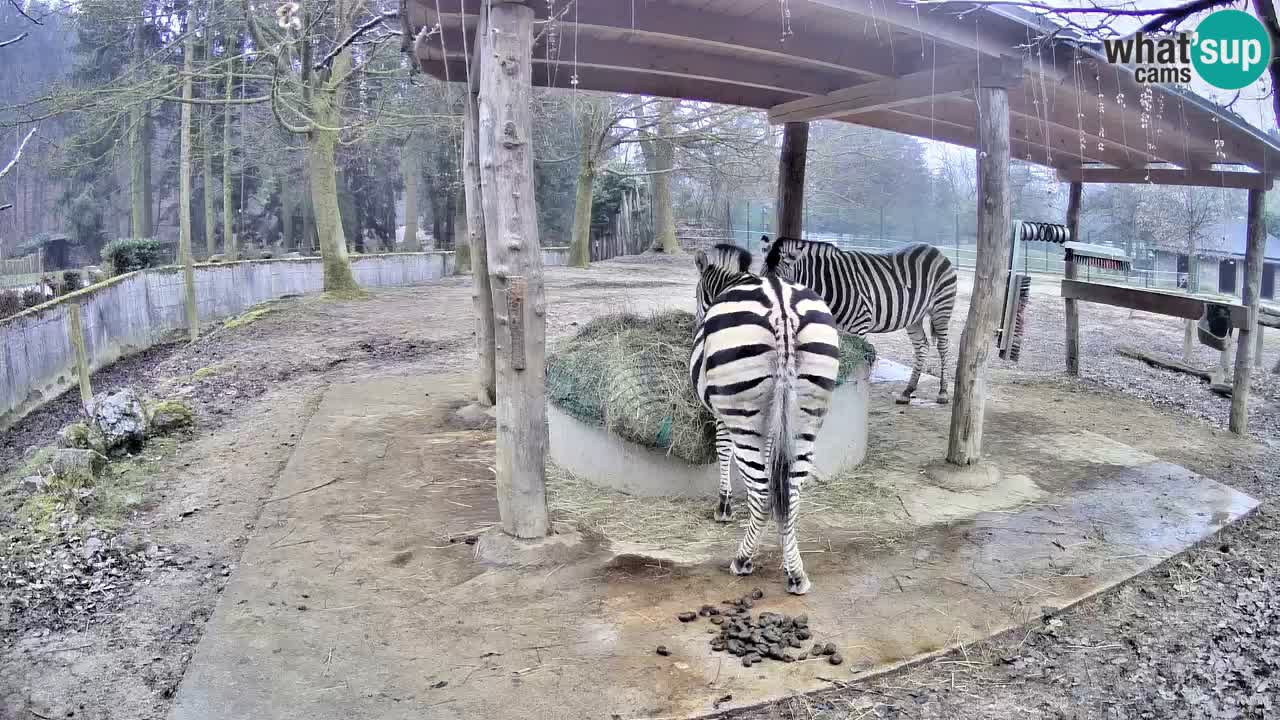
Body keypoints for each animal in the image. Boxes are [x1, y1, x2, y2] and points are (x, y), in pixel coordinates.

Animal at [691, 243, 839, 591]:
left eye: (697, 295)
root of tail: (782, 307)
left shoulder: (722, 414)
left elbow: (723, 449)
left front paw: (724, 507)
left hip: (743, 413)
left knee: (760, 494)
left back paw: (743, 560)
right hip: (806, 415)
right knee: (793, 492)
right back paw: (795, 571)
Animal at [757, 235, 962, 404]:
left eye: (778, 286)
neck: (828, 283)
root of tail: (933, 248)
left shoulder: (859, 325)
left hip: (941, 308)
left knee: (943, 347)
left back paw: (943, 393)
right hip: (914, 317)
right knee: (922, 346)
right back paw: (907, 391)